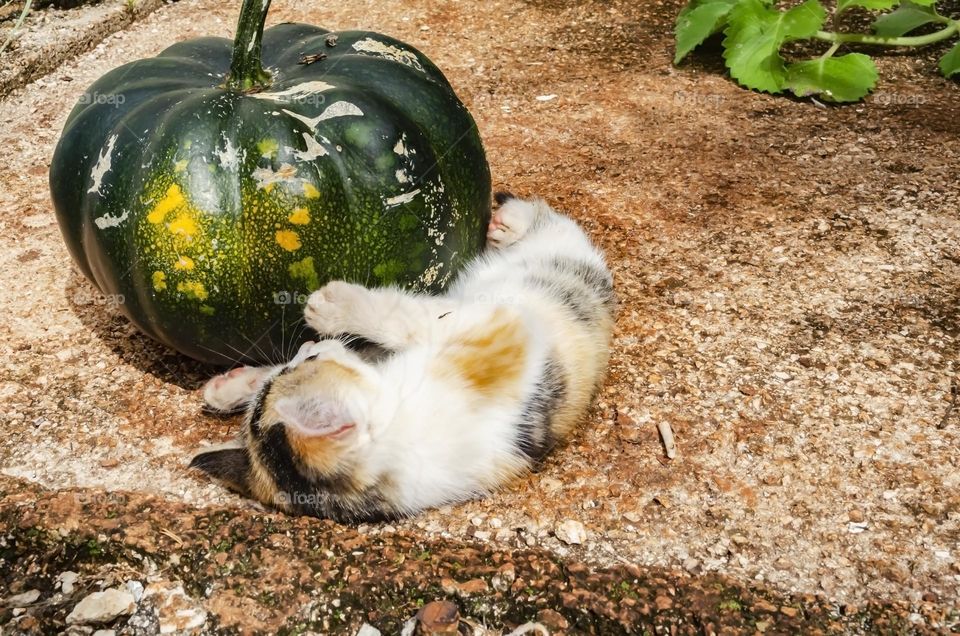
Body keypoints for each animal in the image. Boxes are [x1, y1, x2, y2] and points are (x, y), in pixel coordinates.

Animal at [191, 194, 616, 520]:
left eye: (307, 364)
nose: (307, 349)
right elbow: (398, 329)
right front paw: (239, 385)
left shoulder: (498, 324)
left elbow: (404, 322)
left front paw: (332, 309)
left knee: (556, 225)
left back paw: (509, 222)